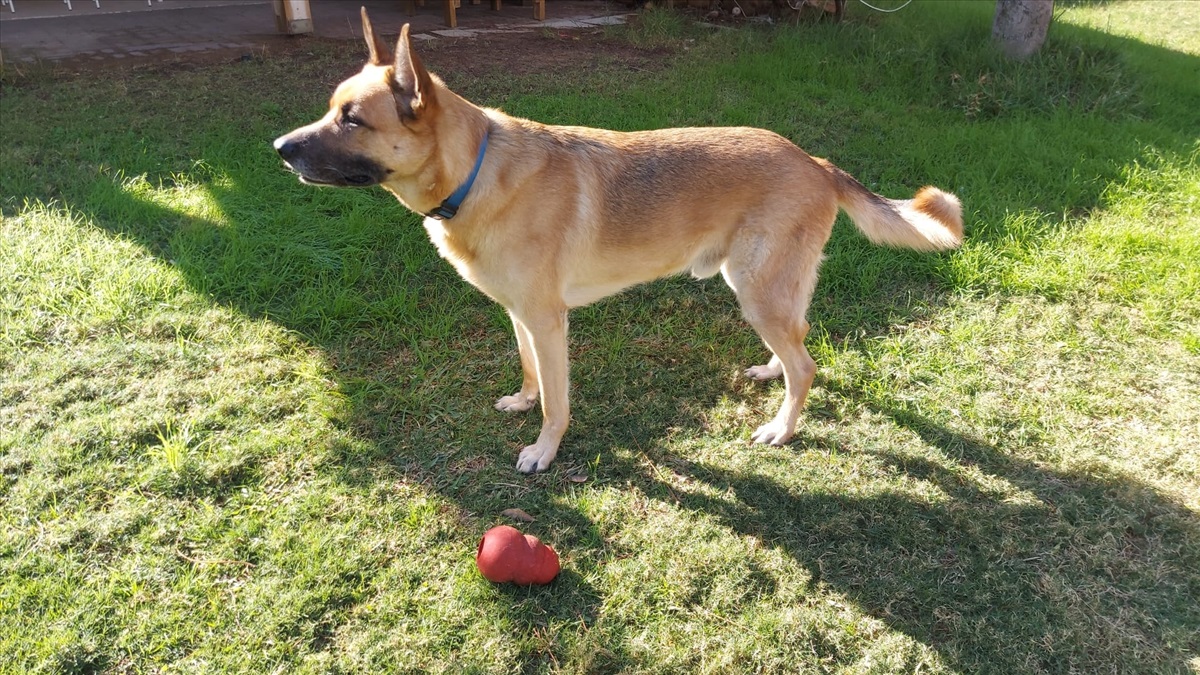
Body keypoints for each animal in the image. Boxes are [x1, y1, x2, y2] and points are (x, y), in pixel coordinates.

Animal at [274, 10, 964, 473]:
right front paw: (523, 400)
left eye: (352, 119)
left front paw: (544, 450)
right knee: (798, 343)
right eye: (332, 109)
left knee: (807, 365)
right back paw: (770, 370)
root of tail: (815, 162)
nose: (279, 149)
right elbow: (530, 372)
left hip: (756, 290)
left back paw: (782, 430)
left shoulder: (549, 322)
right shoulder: (522, 317)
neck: (474, 172)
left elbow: (558, 403)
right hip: (765, 291)